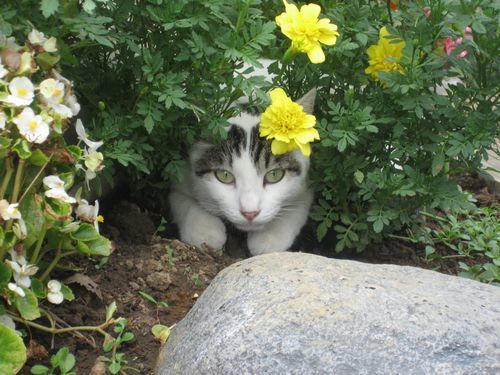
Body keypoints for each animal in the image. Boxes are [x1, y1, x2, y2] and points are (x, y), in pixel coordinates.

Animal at [169, 89, 316, 258]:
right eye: (224, 176)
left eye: (274, 175)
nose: (250, 213)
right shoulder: (179, 174)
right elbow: (180, 199)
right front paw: (204, 230)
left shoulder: (306, 186)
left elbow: (299, 203)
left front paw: (269, 237)